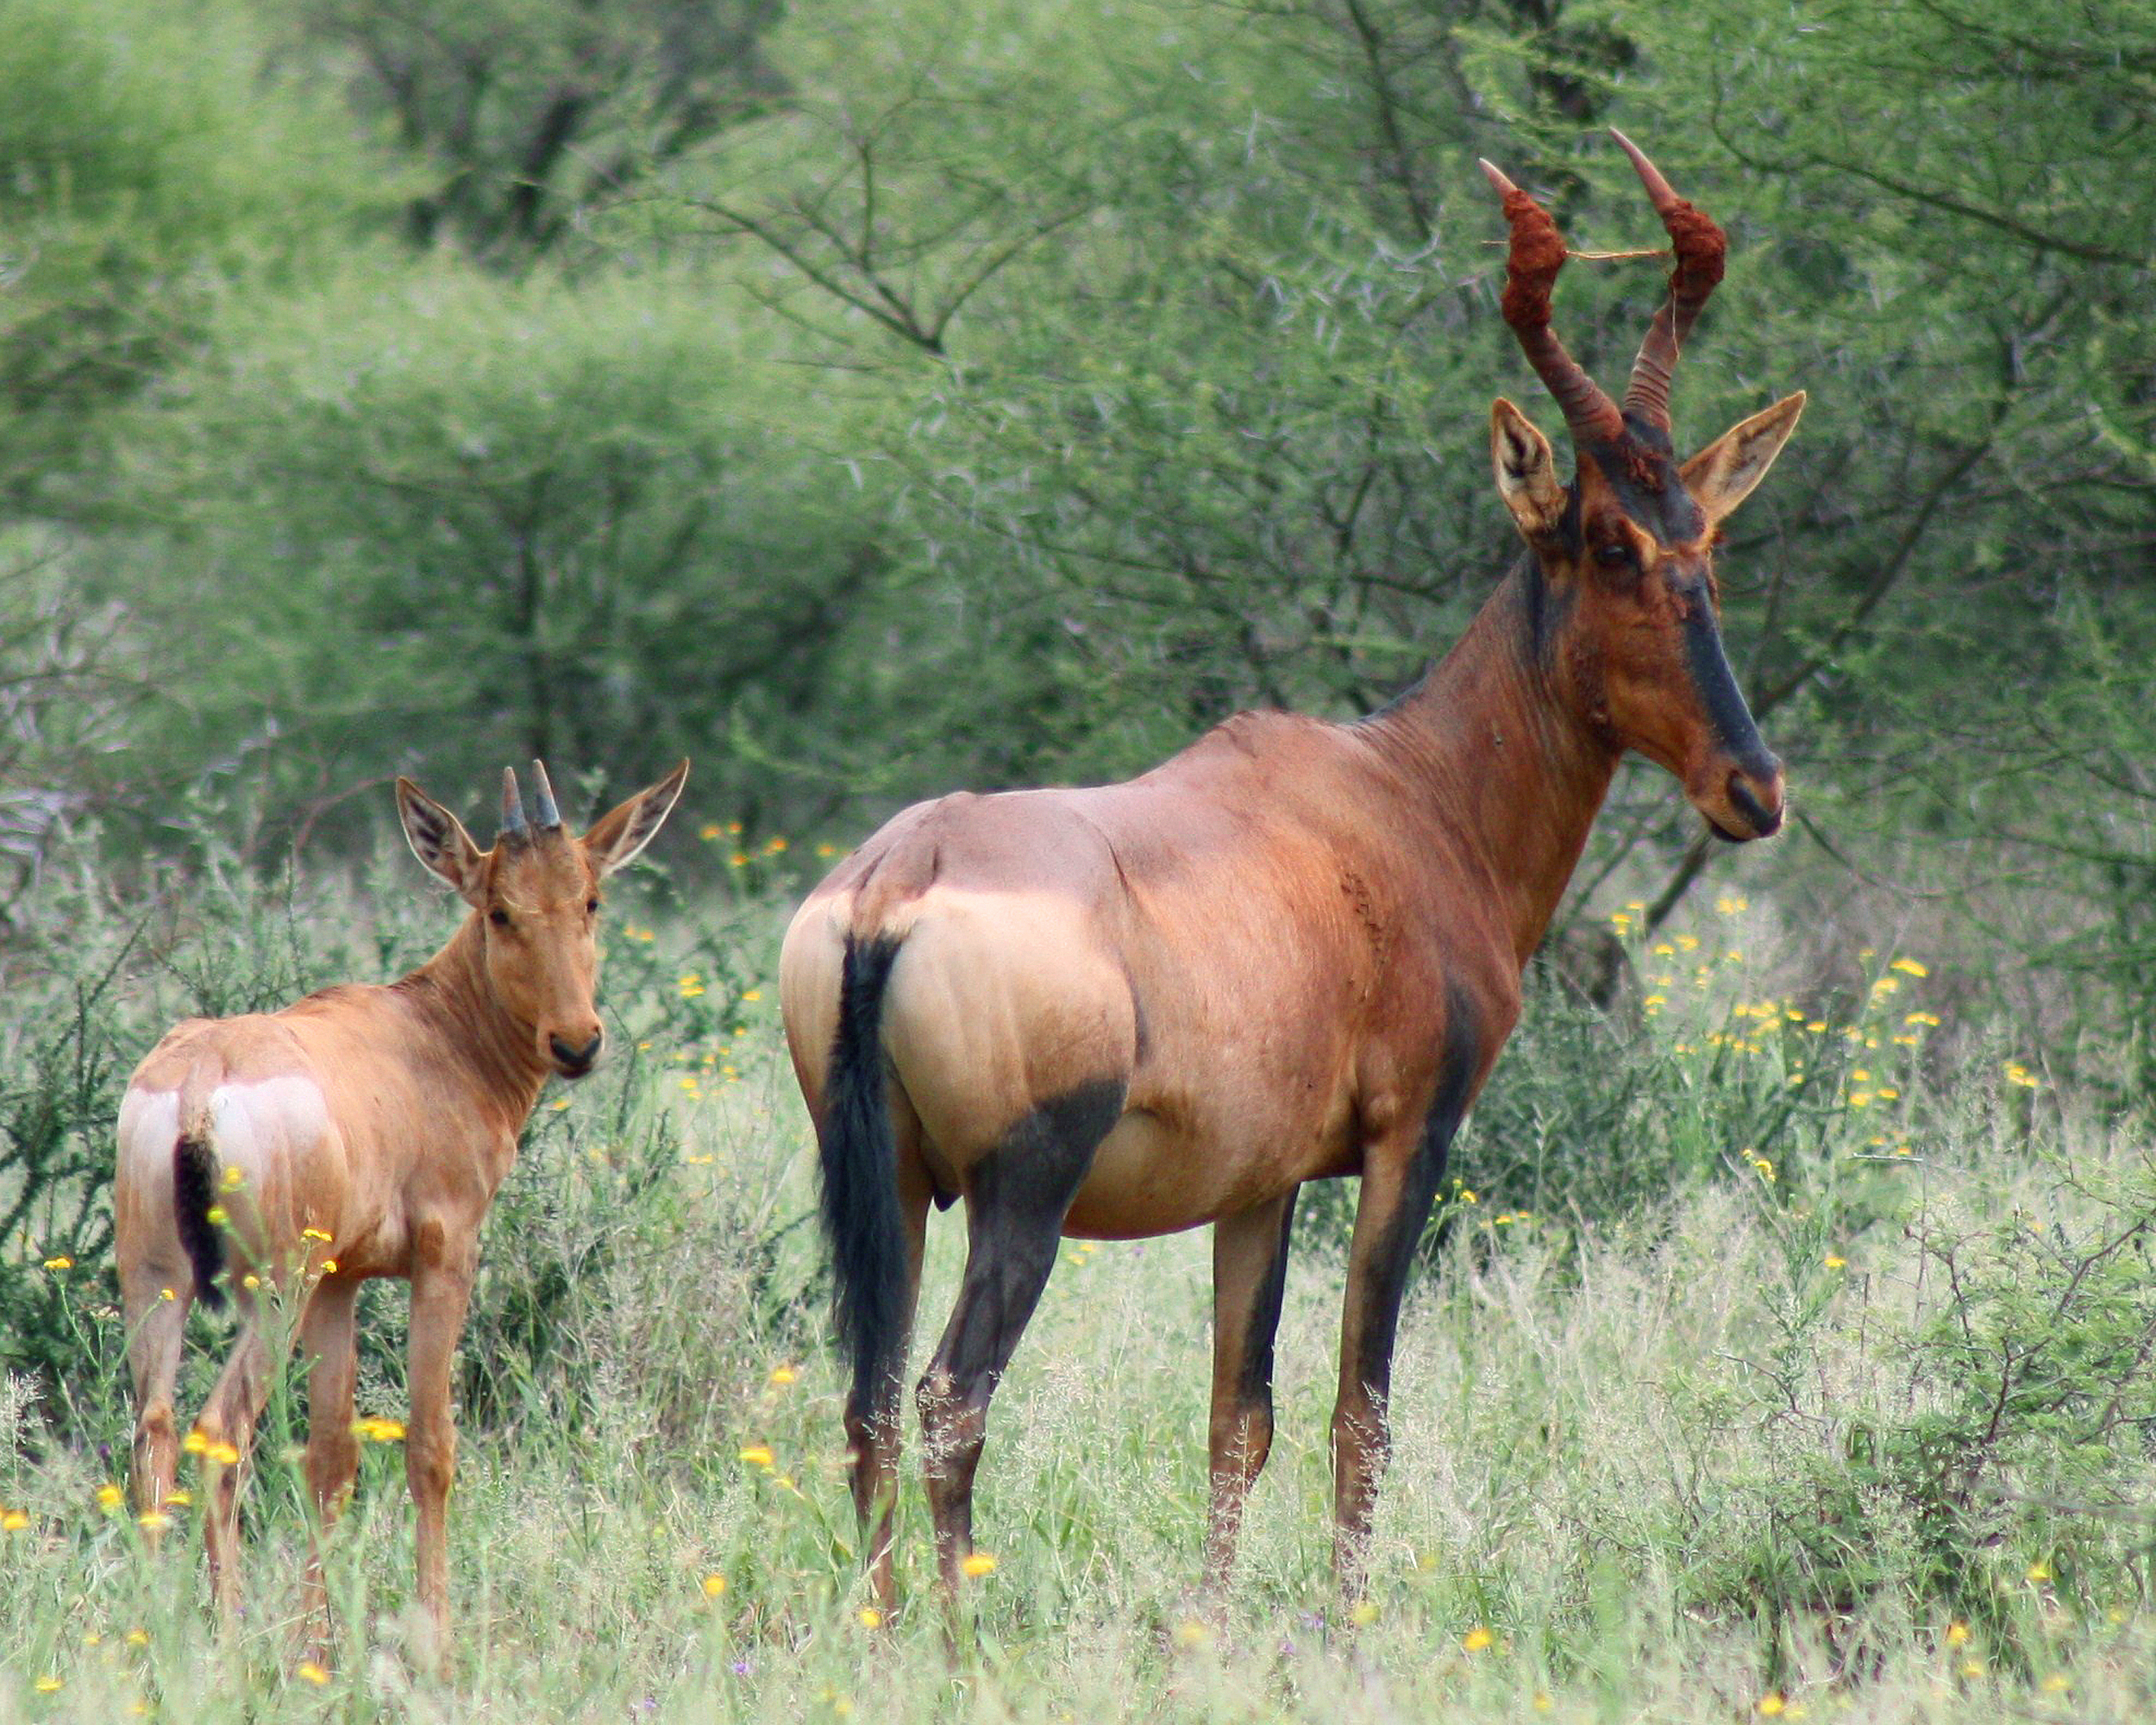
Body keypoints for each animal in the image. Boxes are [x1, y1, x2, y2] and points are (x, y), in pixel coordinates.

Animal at [116, 763, 681, 1647]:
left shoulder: (341, 1283)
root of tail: (205, 1076)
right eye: (499, 909)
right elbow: (430, 1448)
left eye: (590, 899)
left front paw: (317, 1641)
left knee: (155, 1437)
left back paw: (156, 1634)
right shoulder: (445, 1256)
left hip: (156, 1282)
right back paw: (231, 1635)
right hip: (274, 1292)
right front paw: (436, 1641)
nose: (577, 1043)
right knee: (221, 1431)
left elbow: (331, 1457)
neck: (428, 1032)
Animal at [785, 131, 1811, 1604]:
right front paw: (1344, 1624)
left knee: (866, 1406)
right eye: (1608, 540)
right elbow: (1359, 1410)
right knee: (947, 1402)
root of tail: (895, 882)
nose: (1753, 791)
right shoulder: (1408, 1141)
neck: (1399, 795)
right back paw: (953, 1632)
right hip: (1020, 1193)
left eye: (1704, 539)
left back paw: (873, 1630)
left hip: (884, 1182)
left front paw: (1211, 1627)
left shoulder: (1260, 1183)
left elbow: (1239, 1416)